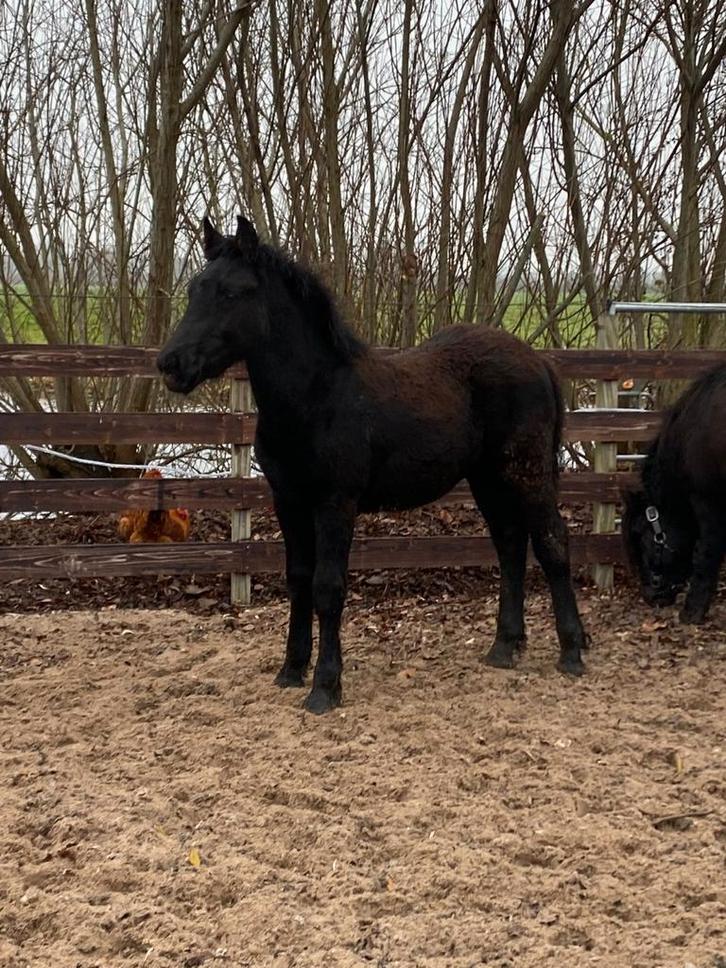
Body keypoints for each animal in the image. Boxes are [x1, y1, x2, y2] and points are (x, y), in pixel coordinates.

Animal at [157, 216, 588, 714]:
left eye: (231, 292)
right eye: (194, 288)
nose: (170, 364)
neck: (316, 397)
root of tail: (538, 360)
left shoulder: (335, 503)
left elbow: (328, 588)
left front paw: (325, 687)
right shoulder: (288, 502)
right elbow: (298, 579)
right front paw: (291, 670)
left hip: (526, 472)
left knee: (552, 542)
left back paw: (572, 652)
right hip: (487, 477)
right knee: (511, 544)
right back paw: (504, 647)